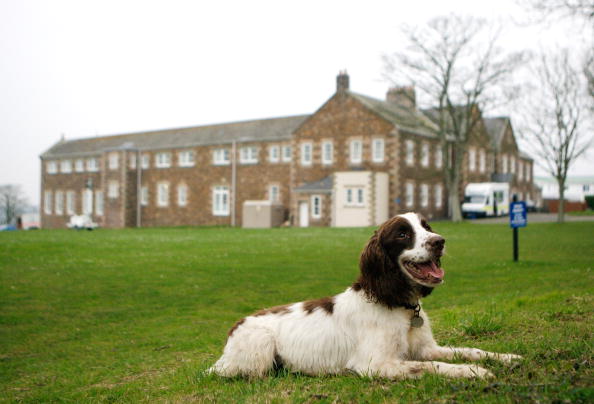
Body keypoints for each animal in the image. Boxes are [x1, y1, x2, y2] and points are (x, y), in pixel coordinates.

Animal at [209, 213, 520, 378]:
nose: (439, 241)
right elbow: (429, 366)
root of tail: (234, 327)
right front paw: (473, 372)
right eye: (402, 234)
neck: (398, 304)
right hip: (260, 345)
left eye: (427, 227)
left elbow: (467, 350)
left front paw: (505, 357)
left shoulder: (425, 347)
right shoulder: (376, 364)